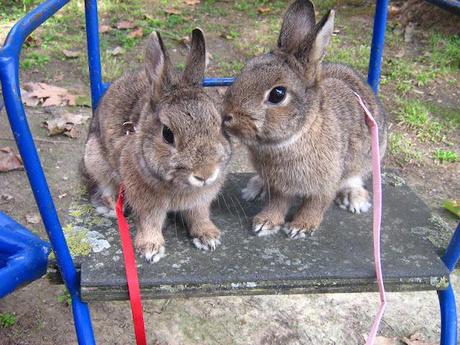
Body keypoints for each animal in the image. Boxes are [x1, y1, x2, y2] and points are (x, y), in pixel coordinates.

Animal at [81, 28, 232, 260]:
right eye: (168, 134)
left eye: (221, 124)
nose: (205, 175)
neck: (180, 186)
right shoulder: (145, 202)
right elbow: (149, 222)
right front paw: (150, 249)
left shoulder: (200, 201)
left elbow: (199, 214)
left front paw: (208, 237)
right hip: (94, 159)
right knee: (105, 187)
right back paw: (110, 207)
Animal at [221, 0, 386, 238]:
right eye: (245, 71)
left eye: (277, 94)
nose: (227, 116)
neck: (295, 135)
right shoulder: (280, 186)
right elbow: (278, 202)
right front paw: (265, 222)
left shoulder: (326, 182)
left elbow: (315, 204)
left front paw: (301, 226)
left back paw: (354, 199)